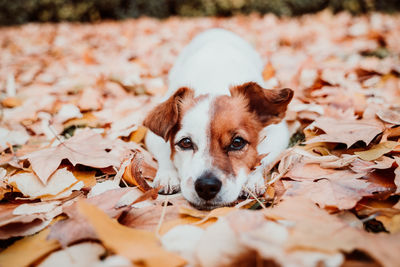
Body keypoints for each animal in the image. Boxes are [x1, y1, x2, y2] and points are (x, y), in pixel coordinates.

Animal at [144, 28, 294, 209]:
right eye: (185, 143)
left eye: (237, 142)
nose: (206, 187)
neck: (214, 82)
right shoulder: (153, 137)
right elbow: (165, 152)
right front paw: (168, 175)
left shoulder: (278, 134)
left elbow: (263, 156)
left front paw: (251, 179)